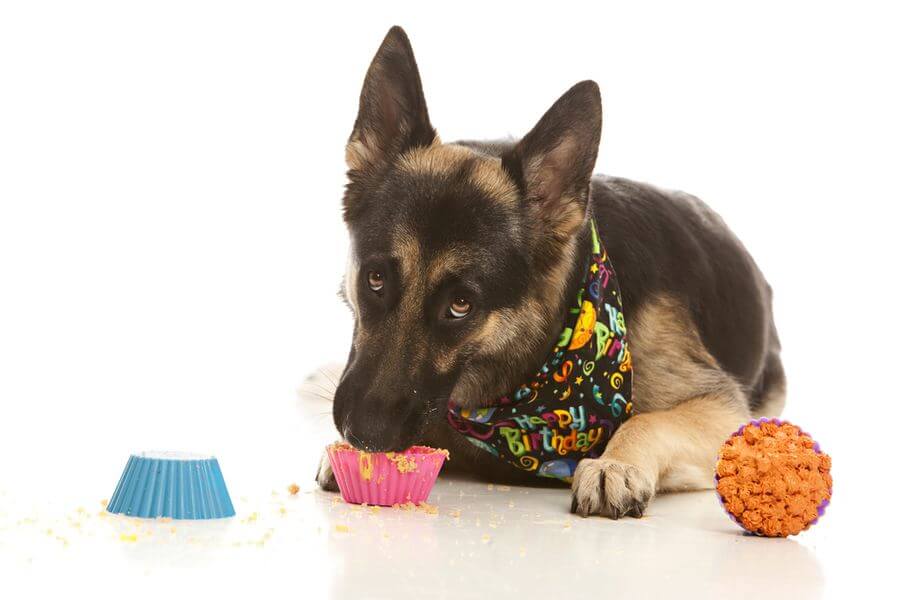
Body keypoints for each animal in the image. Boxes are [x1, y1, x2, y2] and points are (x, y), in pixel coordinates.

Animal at [312, 25, 784, 516]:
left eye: (461, 305)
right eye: (375, 279)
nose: (365, 435)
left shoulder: (723, 409)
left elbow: (648, 422)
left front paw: (614, 465)